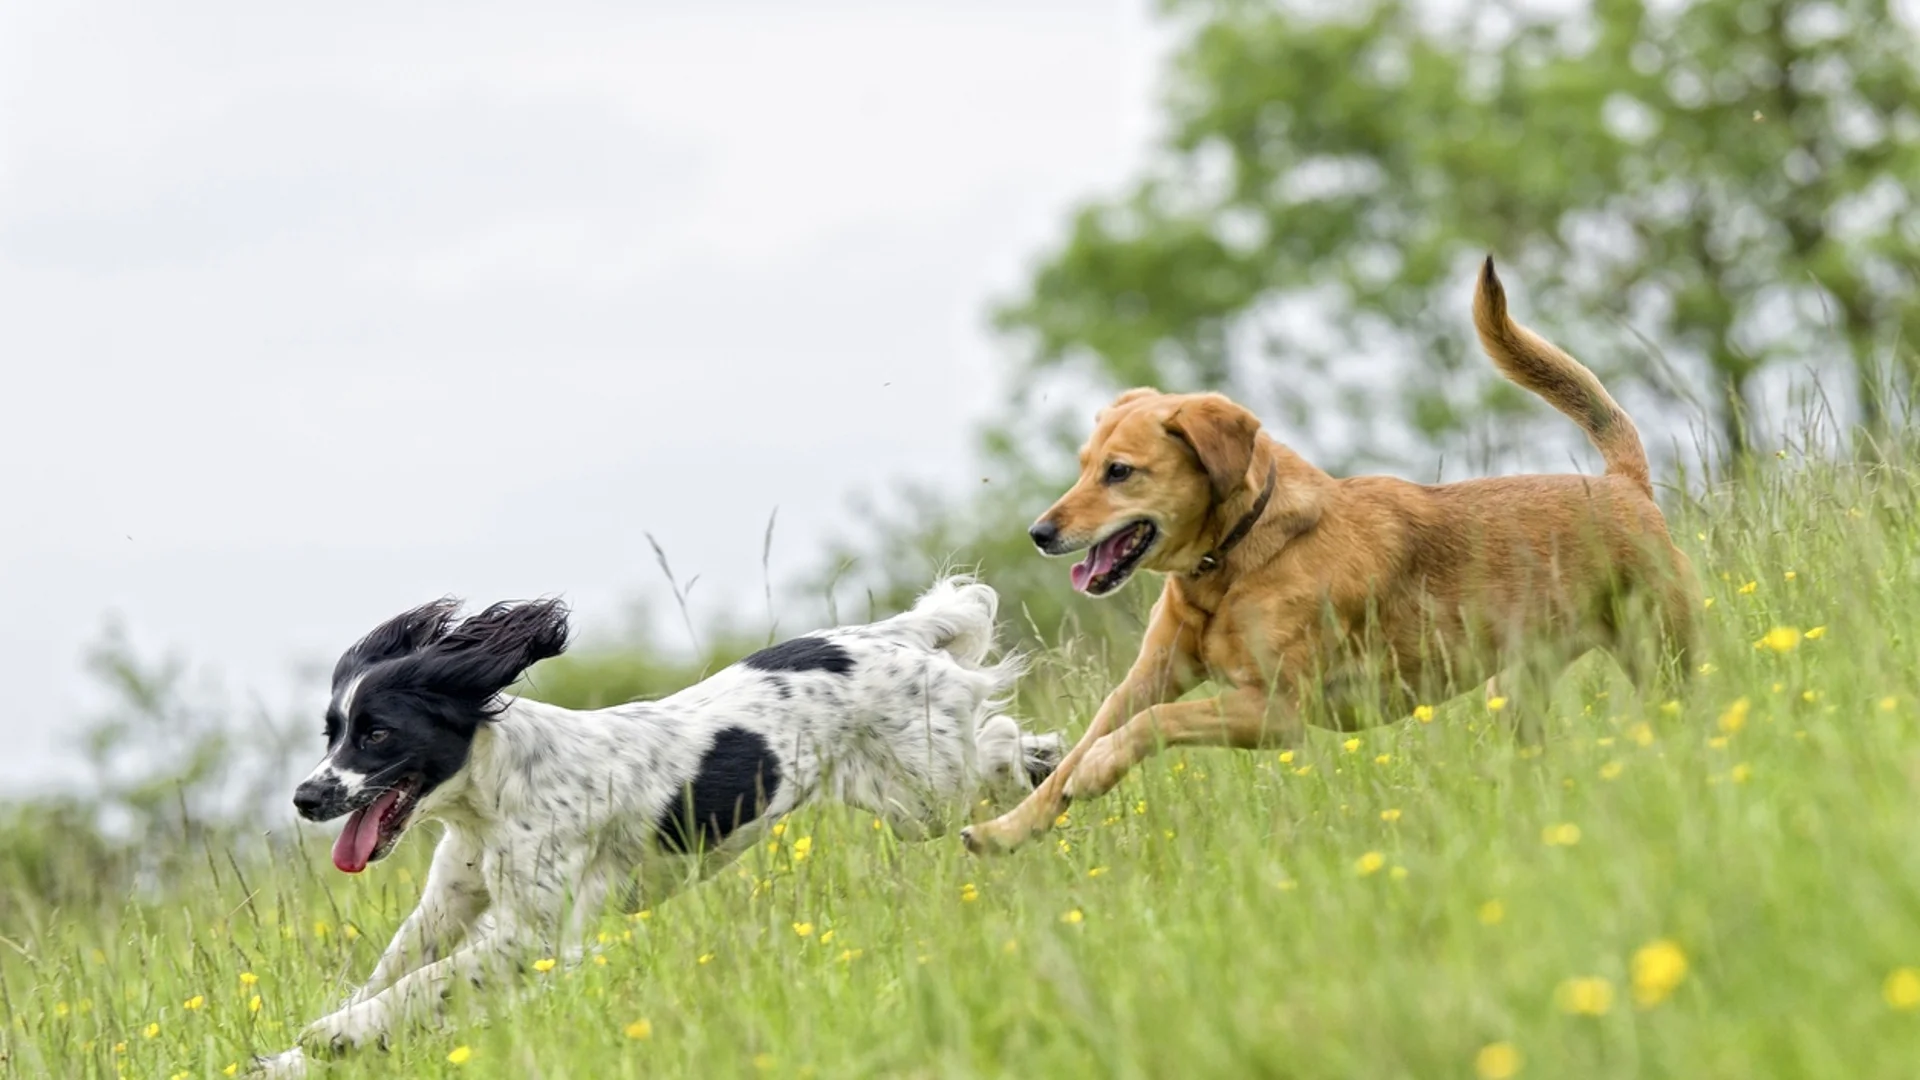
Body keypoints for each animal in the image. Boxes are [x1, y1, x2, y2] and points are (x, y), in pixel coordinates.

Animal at [255, 572, 1059, 1068]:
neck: (490, 797)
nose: (306, 797)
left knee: (994, 740)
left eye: (377, 734)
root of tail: (898, 634)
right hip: (906, 800)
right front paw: (293, 1057)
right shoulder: (452, 901)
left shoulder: (532, 933)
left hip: (926, 790)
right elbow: (394, 970)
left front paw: (333, 1034)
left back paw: (1042, 771)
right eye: (332, 731)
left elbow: (420, 985)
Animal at [960, 255, 1697, 853]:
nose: (1040, 532)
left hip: (1663, 654)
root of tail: (1623, 484)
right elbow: (1084, 745)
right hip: (1515, 689)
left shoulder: (1276, 711)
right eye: (1083, 466)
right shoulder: (1149, 675)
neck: (1232, 561)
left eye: (1119, 472)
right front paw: (1006, 830)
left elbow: (1149, 726)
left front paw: (1096, 771)